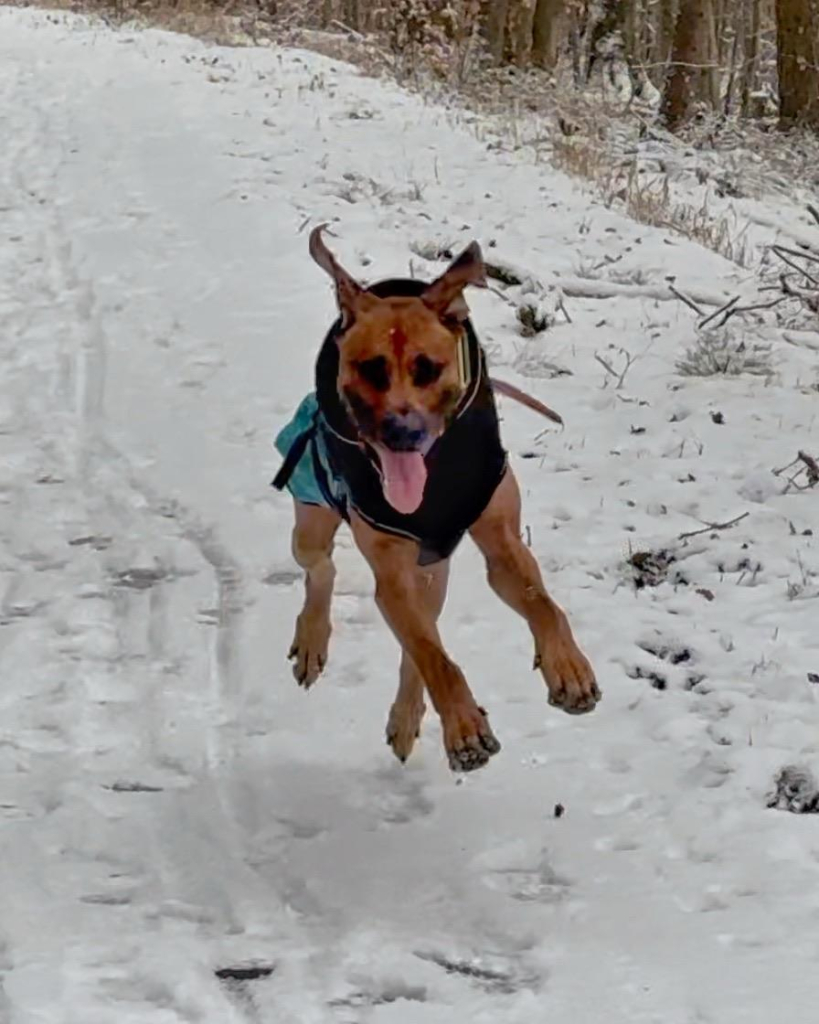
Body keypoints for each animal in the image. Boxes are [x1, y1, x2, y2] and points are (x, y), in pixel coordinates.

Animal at [274, 224, 601, 770]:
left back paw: (406, 717)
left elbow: (543, 605)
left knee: (419, 640)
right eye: (370, 368)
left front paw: (569, 668)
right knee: (325, 572)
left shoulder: (501, 539)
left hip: (433, 573)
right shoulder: (391, 570)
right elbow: (437, 659)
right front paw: (465, 726)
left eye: (428, 368)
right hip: (313, 522)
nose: (403, 433)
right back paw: (313, 639)